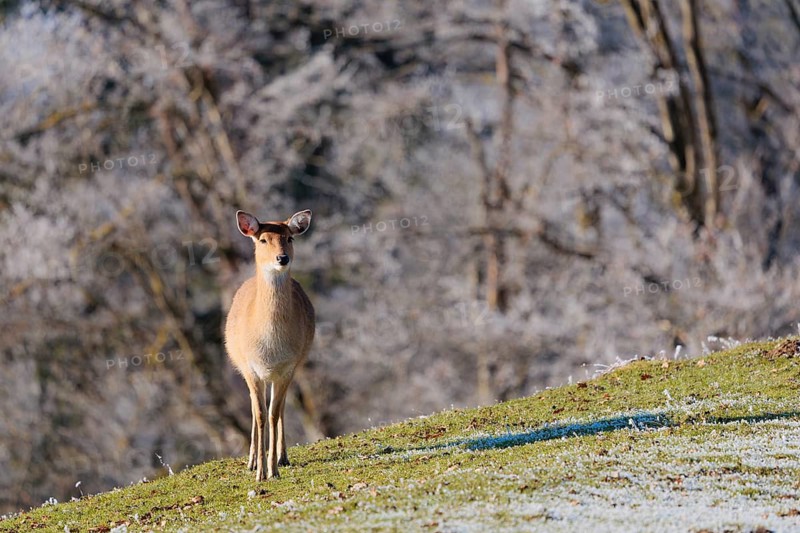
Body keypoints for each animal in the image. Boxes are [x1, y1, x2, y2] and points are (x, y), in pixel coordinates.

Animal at [224, 209, 315, 481]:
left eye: (290, 238)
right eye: (263, 239)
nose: (282, 258)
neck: (270, 346)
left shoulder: (287, 367)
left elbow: (274, 413)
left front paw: (273, 469)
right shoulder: (251, 368)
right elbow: (261, 414)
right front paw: (260, 472)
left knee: (280, 407)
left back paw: (282, 457)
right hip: (244, 367)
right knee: (255, 409)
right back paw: (252, 461)